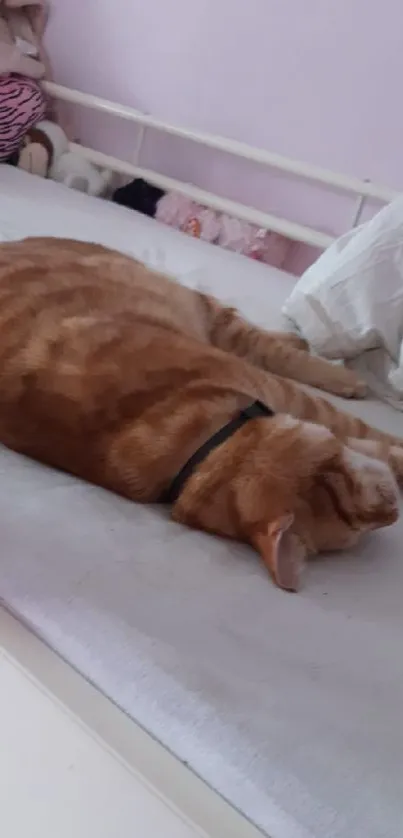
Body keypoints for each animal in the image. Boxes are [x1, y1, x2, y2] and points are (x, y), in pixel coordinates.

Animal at [0, 233, 402, 592]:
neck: (197, 450)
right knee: (265, 346)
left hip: (195, 304)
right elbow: (372, 437)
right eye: (358, 522)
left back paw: (319, 356)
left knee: (263, 340)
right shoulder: (294, 398)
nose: (393, 509)